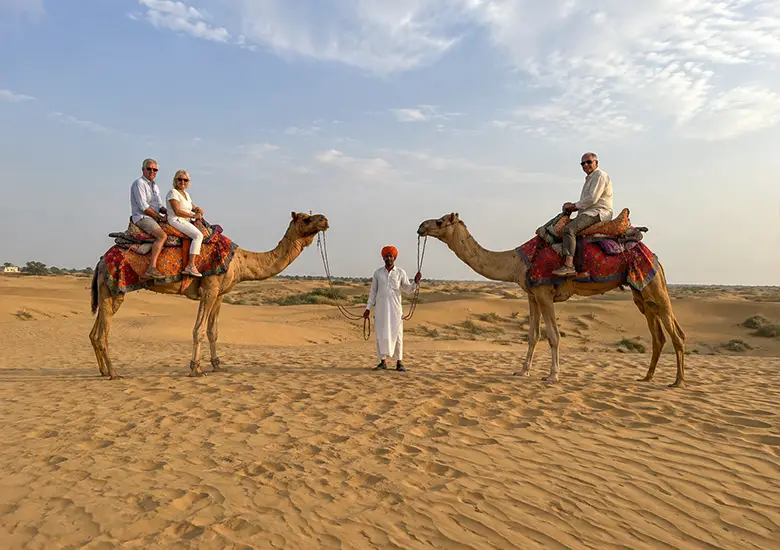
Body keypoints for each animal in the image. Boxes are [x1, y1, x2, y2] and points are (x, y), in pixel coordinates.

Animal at [90, 212, 329, 379]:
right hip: (115, 289)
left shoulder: (220, 294)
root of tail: (101, 261)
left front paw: (217, 365)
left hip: (106, 291)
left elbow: (213, 331)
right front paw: (195, 369)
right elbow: (199, 330)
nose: (325, 219)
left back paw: (103, 371)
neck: (240, 260)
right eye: (306, 218)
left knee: (94, 332)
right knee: (103, 334)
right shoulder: (209, 289)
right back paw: (114, 373)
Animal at [417, 213, 686, 387]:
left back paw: (678, 381)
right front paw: (522, 371)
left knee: (676, 333)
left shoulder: (545, 292)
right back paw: (647, 377)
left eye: (440, 221)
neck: (517, 261)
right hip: (641, 291)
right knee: (658, 335)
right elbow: (532, 335)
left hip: (654, 284)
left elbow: (553, 336)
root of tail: (653, 255)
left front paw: (552, 375)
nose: (421, 226)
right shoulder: (532, 294)